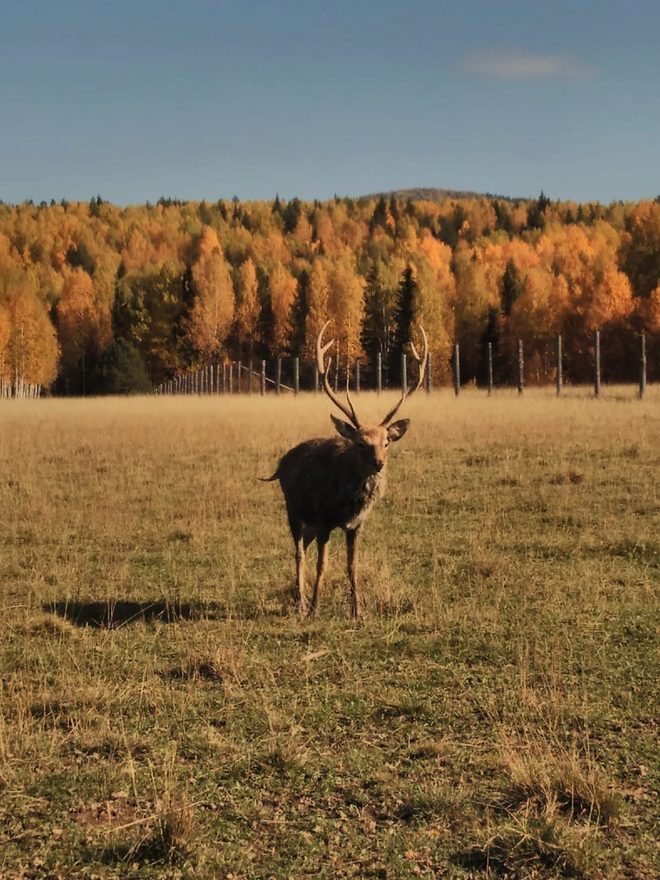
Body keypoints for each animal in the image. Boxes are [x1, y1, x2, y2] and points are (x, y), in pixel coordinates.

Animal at [260, 318, 430, 620]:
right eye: (361, 443)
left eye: (386, 442)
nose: (379, 463)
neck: (346, 504)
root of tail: (281, 464)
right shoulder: (324, 519)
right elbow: (323, 565)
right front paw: (315, 609)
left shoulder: (356, 525)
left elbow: (352, 566)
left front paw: (357, 610)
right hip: (294, 510)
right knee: (298, 553)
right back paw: (301, 602)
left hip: (309, 523)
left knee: (304, 547)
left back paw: (300, 598)